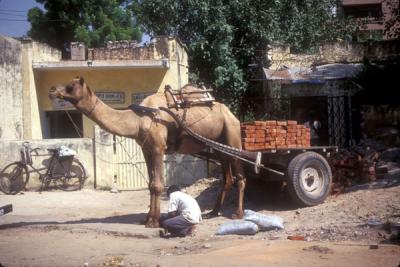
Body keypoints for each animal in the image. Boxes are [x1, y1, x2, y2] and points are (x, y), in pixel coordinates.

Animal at [48, 77, 245, 228]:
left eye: (71, 86)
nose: (52, 90)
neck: (138, 119)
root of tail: (232, 115)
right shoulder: (146, 149)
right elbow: (150, 184)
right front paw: (147, 218)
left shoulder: (158, 148)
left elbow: (157, 185)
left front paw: (153, 222)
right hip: (218, 147)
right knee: (227, 178)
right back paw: (213, 212)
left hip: (232, 135)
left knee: (240, 177)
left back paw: (237, 214)